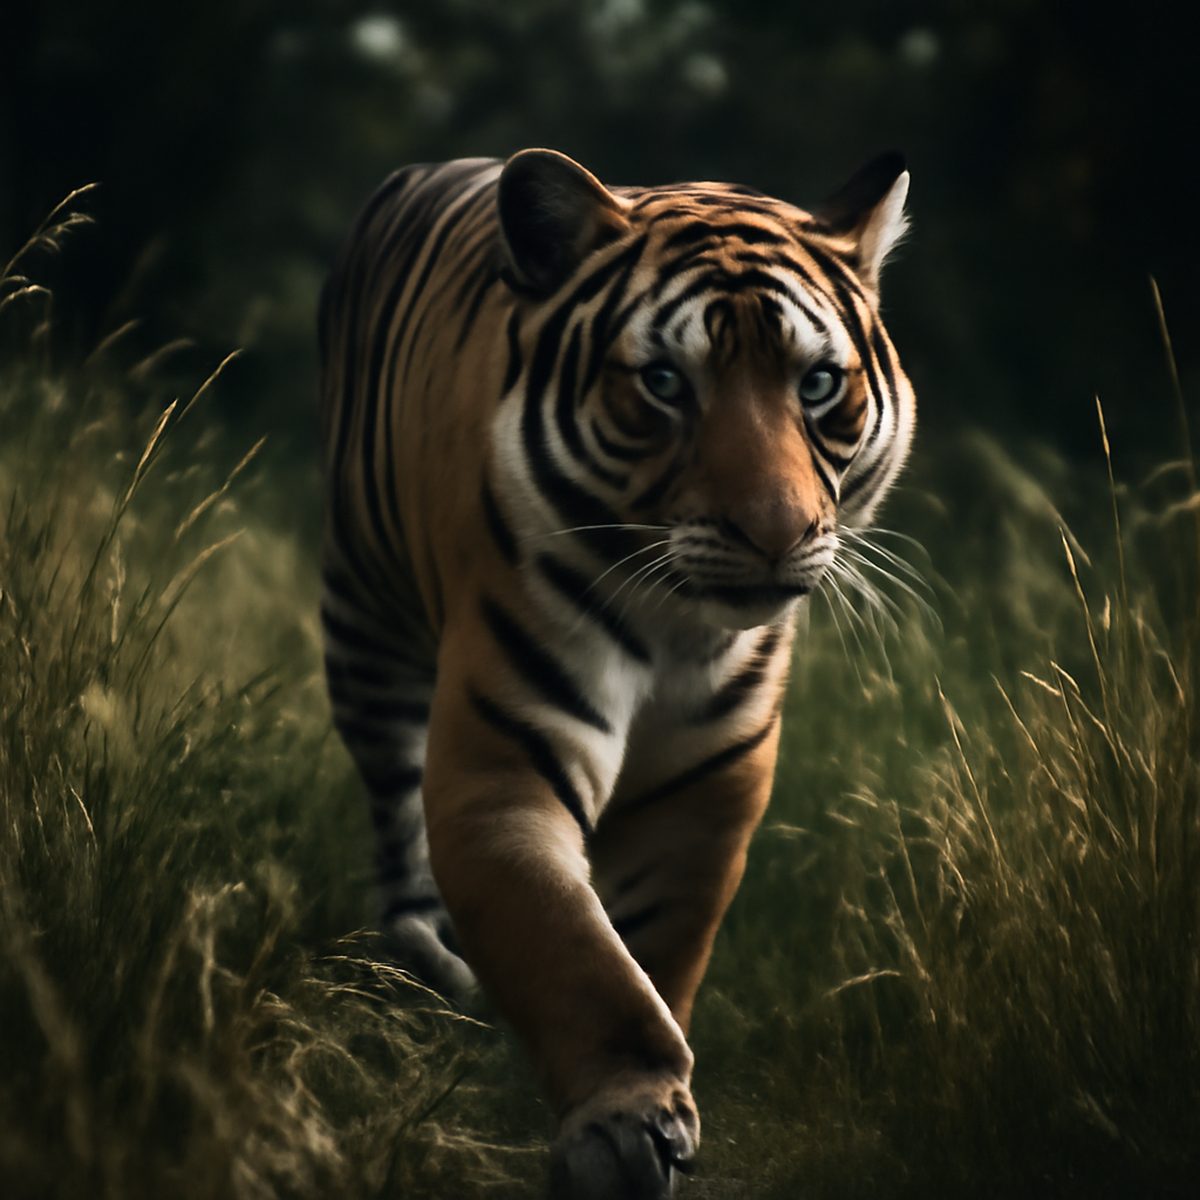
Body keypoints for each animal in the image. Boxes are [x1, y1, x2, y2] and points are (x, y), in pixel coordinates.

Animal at [317, 147, 914, 1198]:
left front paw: (640, 1103)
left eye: (816, 384)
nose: (776, 532)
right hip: (365, 621)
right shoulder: (502, 770)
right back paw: (428, 957)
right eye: (667, 382)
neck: (676, 626)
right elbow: (568, 945)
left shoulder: (704, 792)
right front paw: (623, 1125)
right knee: (393, 812)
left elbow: (654, 950)